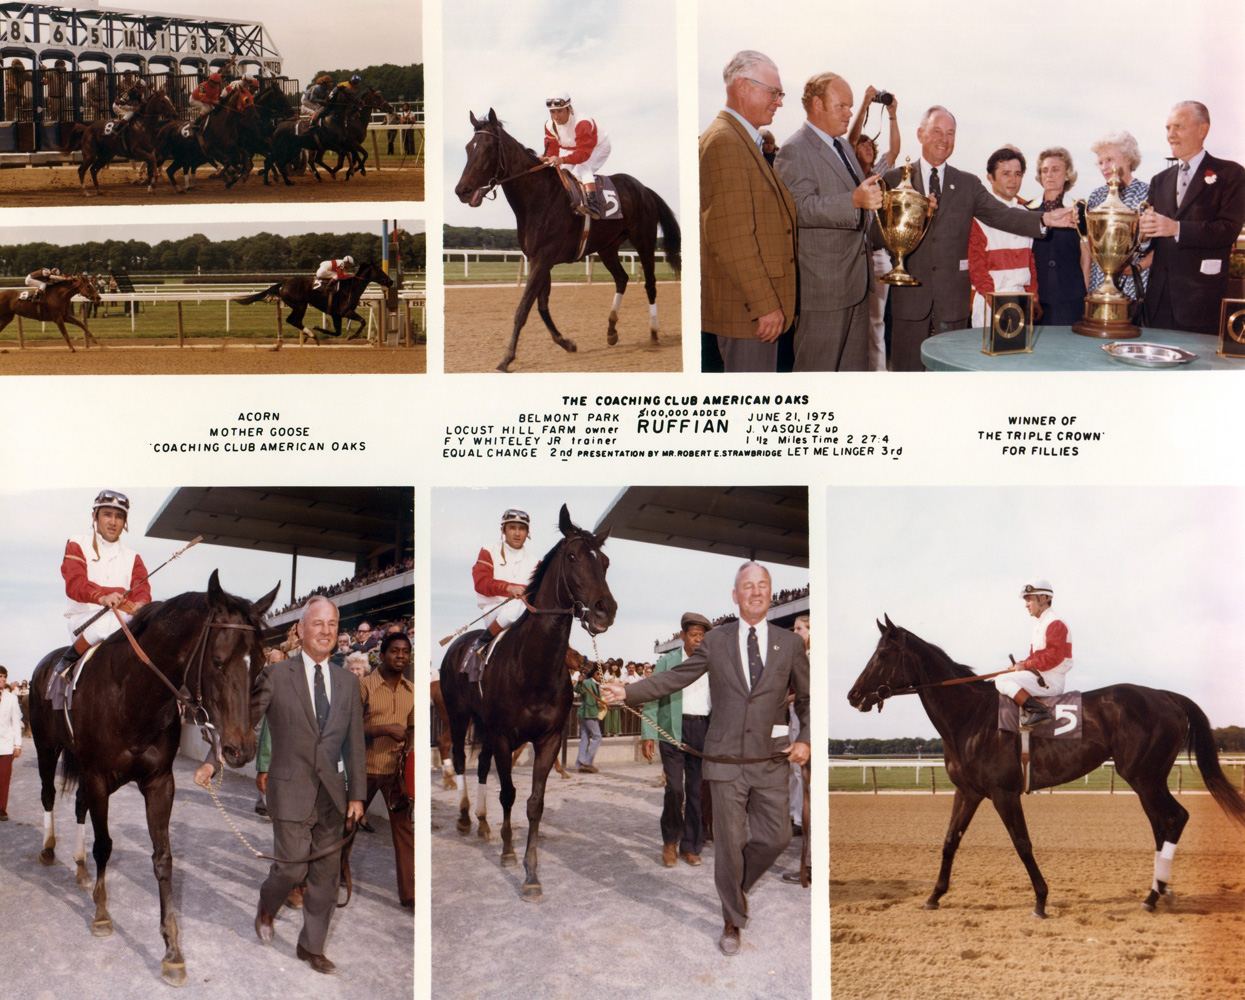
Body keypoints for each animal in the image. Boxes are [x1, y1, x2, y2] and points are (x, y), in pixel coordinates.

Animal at [28, 570, 281, 986]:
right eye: (217, 662)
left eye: (260, 664)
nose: (239, 750)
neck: (130, 696)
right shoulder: (98, 778)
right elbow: (105, 845)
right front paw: (102, 915)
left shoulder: (159, 782)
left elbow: (163, 859)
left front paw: (172, 950)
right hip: (47, 748)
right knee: (49, 794)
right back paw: (49, 848)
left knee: (77, 806)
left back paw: (79, 867)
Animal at [231, 261, 390, 348]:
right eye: (379, 270)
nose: (390, 281)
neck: (350, 288)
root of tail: (284, 283)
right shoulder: (345, 312)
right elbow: (362, 321)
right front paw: (351, 336)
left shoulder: (336, 314)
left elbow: (338, 331)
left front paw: (321, 328)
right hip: (301, 305)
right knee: (294, 321)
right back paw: (312, 335)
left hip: (298, 306)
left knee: (293, 321)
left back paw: (310, 335)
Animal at [440, 508, 615, 901]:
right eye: (572, 557)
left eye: (606, 562)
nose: (605, 611)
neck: (532, 667)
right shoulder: (506, 736)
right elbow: (509, 793)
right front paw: (507, 853)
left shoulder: (547, 739)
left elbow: (534, 803)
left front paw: (531, 874)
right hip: (459, 716)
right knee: (459, 759)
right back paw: (464, 816)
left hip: (485, 727)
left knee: (482, 765)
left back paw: (483, 822)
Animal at [453, 109, 682, 373]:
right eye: (468, 148)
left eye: (489, 148)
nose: (462, 191)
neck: (538, 196)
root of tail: (644, 189)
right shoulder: (539, 259)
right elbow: (541, 306)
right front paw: (566, 342)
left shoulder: (543, 259)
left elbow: (523, 309)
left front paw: (506, 358)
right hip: (608, 247)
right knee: (622, 279)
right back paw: (611, 330)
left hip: (644, 241)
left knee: (650, 284)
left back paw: (654, 332)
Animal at [846, 617, 1245, 921]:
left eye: (882, 653)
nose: (853, 695)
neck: (971, 718)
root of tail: (1168, 696)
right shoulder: (969, 791)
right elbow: (949, 841)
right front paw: (934, 896)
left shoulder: (1003, 793)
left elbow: (1022, 843)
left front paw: (1040, 900)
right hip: (1149, 778)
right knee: (1164, 825)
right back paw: (1161, 890)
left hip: (1144, 777)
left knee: (1174, 818)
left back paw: (1153, 896)